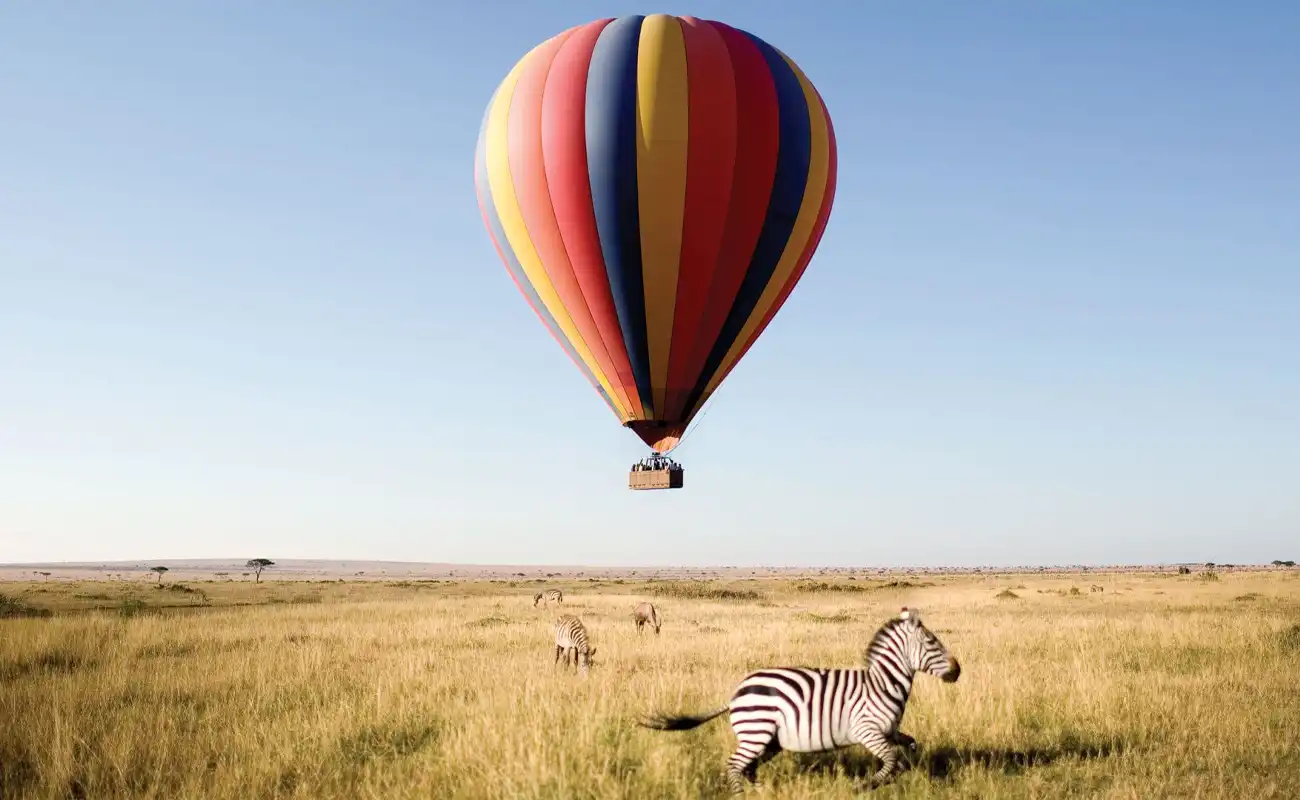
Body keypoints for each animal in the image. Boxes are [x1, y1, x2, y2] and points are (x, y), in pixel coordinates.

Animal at [634, 611, 961, 790]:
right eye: (932, 642)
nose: (958, 670)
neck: (882, 684)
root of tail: (736, 693)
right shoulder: (866, 730)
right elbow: (891, 759)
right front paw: (865, 786)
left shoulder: (889, 731)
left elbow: (908, 748)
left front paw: (904, 772)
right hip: (756, 734)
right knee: (735, 766)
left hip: (768, 741)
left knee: (748, 768)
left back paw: (761, 792)